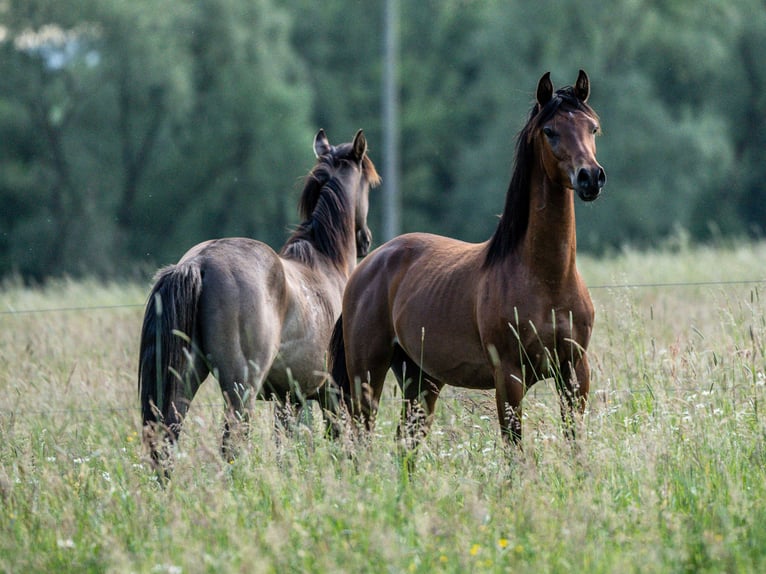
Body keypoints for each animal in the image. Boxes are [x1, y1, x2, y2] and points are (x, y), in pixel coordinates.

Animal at [140, 128, 380, 470]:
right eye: (369, 185)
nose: (365, 240)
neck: (325, 263)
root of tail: (198, 262)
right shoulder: (332, 395)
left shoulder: (288, 398)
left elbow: (286, 448)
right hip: (241, 389)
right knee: (231, 443)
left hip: (184, 379)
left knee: (168, 432)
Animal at [328, 71, 608, 450]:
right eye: (550, 131)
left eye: (592, 128)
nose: (590, 177)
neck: (546, 278)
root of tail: (366, 267)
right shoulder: (509, 377)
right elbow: (515, 449)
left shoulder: (574, 373)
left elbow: (574, 444)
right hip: (367, 375)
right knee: (361, 437)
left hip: (421, 379)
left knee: (406, 441)